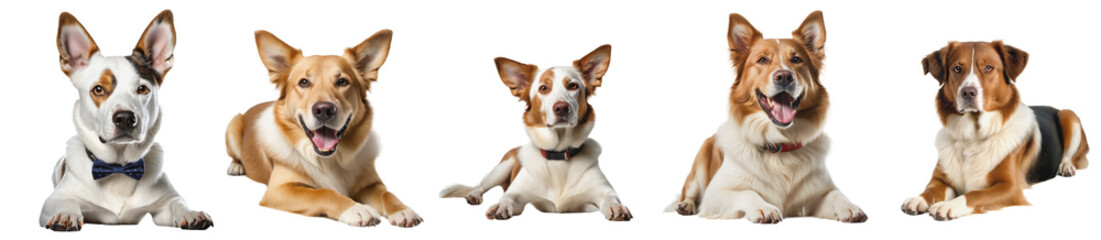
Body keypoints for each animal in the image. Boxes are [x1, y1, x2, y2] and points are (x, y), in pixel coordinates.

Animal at [38, 10, 212, 231]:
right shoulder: (53, 200)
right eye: (98, 89)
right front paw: (65, 214)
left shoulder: (165, 202)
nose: (125, 118)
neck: (119, 167)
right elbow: (65, 201)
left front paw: (191, 213)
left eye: (143, 89)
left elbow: (178, 203)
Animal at [223, 28, 420, 226]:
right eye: (303, 82)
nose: (324, 110)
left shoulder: (371, 184)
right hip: (232, 125)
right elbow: (324, 193)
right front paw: (356, 209)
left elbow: (387, 193)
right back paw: (236, 167)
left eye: (342, 81)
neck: (331, 158)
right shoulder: (279, 190)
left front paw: (402, 210)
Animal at [435, 44, 634, 221]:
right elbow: (508, 197)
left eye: (572, 86)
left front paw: (617, 207)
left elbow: (610, 197)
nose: (562, 108)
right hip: (502, 167)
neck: (558, 155)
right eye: (543, 88)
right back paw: (474, 195)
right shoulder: (518, 193)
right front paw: (500, 205)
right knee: (480, 185)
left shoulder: (602, 191)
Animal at [665, 11, 863, 223]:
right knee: (688, 192)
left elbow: (836, 194)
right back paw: (685, 205)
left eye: (796, 59)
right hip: (700, 163)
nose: (784, 76)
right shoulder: (715, 194)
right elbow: (748, 192)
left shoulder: (817, 192)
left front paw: (850, 207)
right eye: (762, 60)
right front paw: (764, 208)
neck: (779, 143)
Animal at [898, 40, 1087, 220]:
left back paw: (1066, 167)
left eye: (988, 67)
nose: (968, 92)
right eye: (957, 68)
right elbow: (931, 189)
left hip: (1068, 115)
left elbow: (974, 194)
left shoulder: (1011, 187)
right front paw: (919, 199)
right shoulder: (941, 178)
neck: (973, 135)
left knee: (1069, 154)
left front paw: (948, 206)